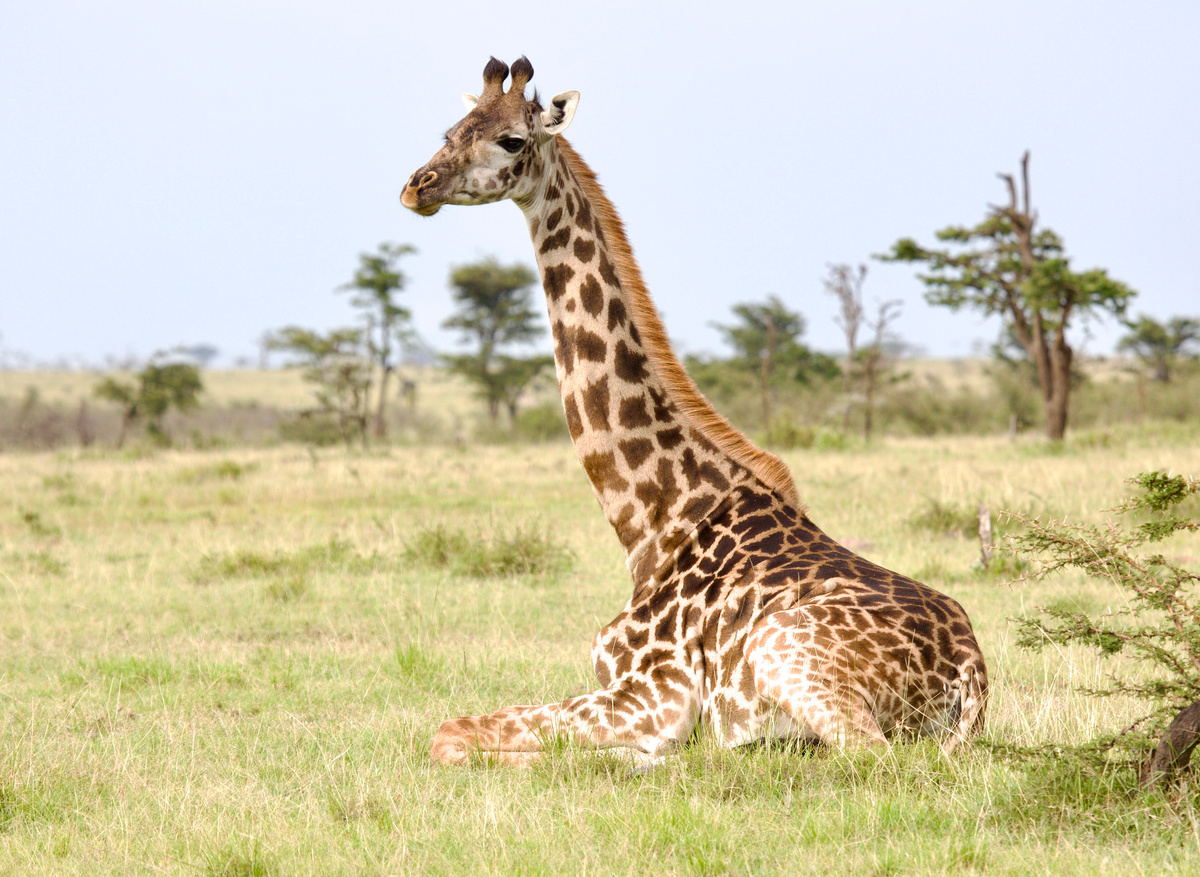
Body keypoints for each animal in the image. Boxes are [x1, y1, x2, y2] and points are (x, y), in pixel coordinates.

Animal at [401, 57, 987, 766]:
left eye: (512, 140)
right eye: (454, 130)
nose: (417, 187)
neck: (652, 522)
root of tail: (970, 670)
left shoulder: (654, 694)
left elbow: (450, 734)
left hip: (794, 663)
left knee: (866, 753)